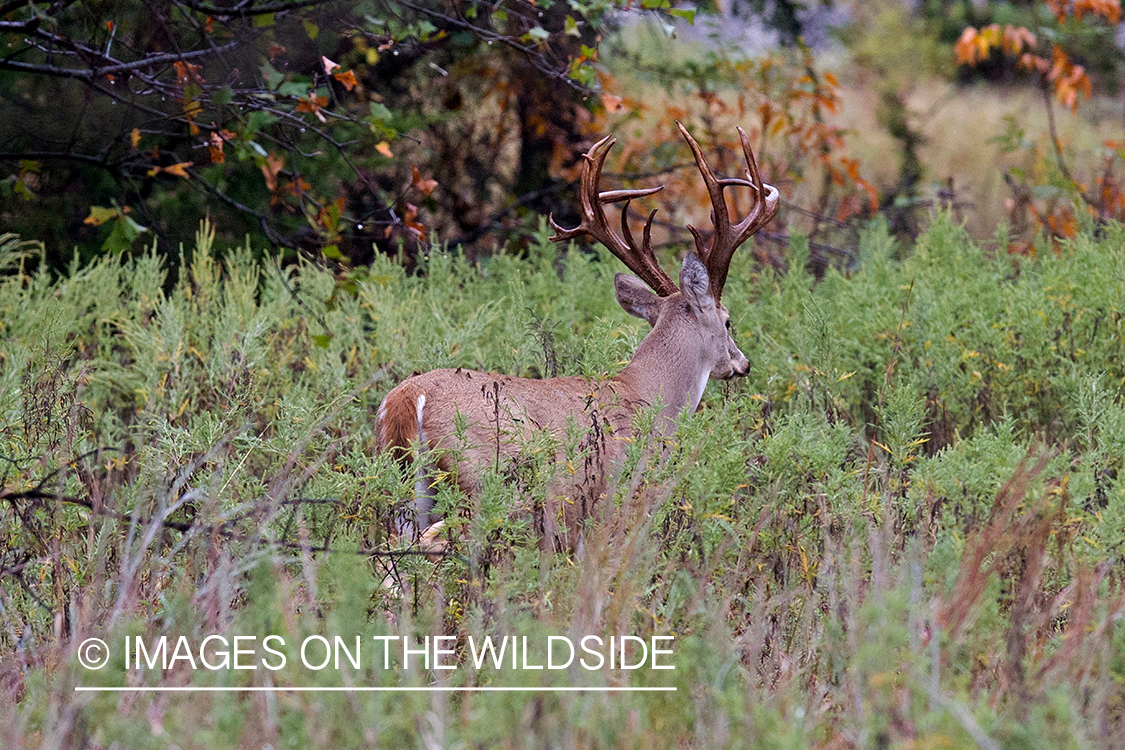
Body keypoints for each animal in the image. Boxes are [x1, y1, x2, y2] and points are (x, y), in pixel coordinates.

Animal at [373, 124, 778, 550]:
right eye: (728, 321)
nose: (743, 362)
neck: (651, 395)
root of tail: (406, 400)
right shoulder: (610, 496)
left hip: (403, 489)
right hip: (480, 481)